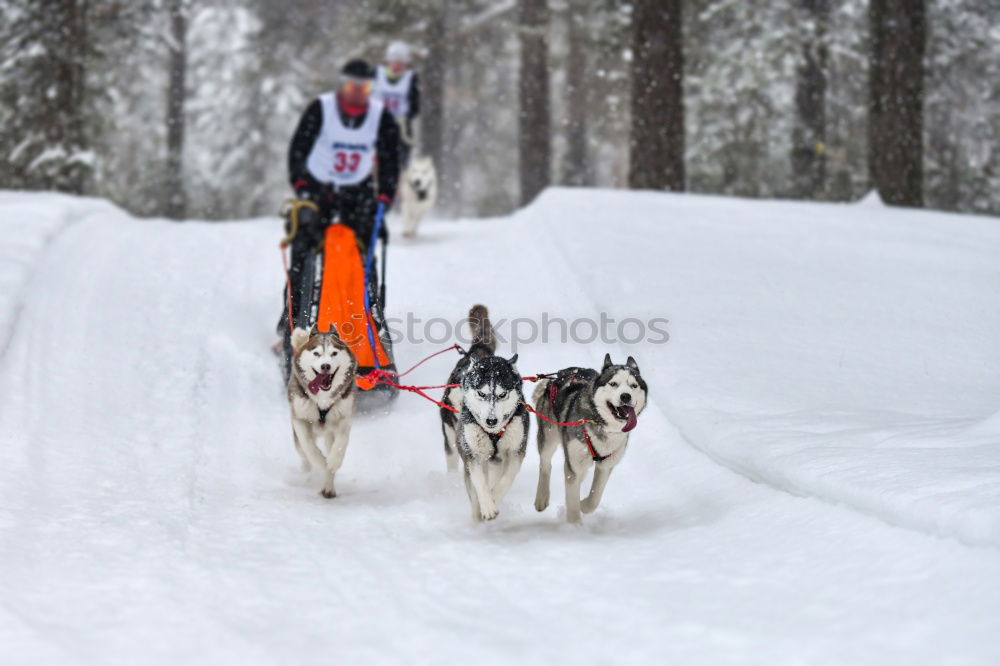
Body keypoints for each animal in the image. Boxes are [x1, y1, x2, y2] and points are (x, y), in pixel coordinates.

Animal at [288, 324, 358, 496]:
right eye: (316, 353)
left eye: (334, 353)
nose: (325, 366)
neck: (323, 400)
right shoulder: (299, 418)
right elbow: (308, 446)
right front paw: (319, 461)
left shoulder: (344, 417)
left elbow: (341, 443)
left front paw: (333, 462)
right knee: (303, 452)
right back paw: (307, 468)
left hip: (329, 434)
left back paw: (328, 487)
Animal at [440, 304, 532, 520]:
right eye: (481, 393)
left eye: (502, 394)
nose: (491, 421)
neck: (493, 433)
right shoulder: (472, 454)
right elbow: (478, 482)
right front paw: (484, 508)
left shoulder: (515, 452)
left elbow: (505, 479)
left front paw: (494, 498)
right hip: (452, 437)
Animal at [532, 356, 648, 520]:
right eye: (613, 384)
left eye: (634, 385)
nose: (626, 396)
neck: (601, 425)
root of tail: (553, 380)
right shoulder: (574, 462)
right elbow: (572, 497)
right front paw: (574, 523)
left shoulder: (606, 464)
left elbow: (595, 497)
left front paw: (584, 505)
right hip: (549, 437)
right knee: (545, 464)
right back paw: (542, 497)